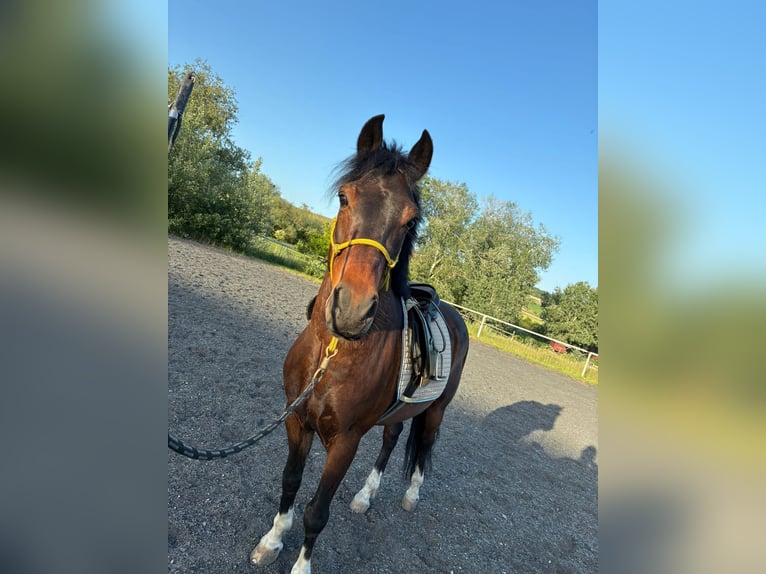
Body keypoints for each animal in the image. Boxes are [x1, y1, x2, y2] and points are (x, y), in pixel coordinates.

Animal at [250, 115, 470, 573]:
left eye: (410, 220)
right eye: (344, 197)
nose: (351, 309)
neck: (331, 356)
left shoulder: (345, 442)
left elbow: (317, 511)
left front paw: (300, 566)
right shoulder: (296, 420)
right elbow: (290, 483)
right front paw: (272, 541)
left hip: (437, 409)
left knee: (425, 446)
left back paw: (411, 496)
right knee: (392, 439)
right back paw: (366, 496)